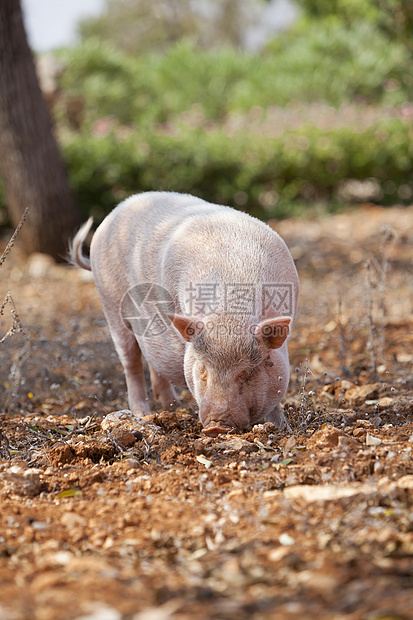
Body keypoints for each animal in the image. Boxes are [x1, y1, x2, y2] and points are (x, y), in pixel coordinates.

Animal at [69, 191, 298, 438]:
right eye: (203, 369)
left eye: (249, 373)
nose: (217, 425)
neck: (230, 313)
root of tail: (112, 214)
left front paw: (281, 426)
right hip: (111, 306)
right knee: (131, 362)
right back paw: (142, 414)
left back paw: (173, 407)